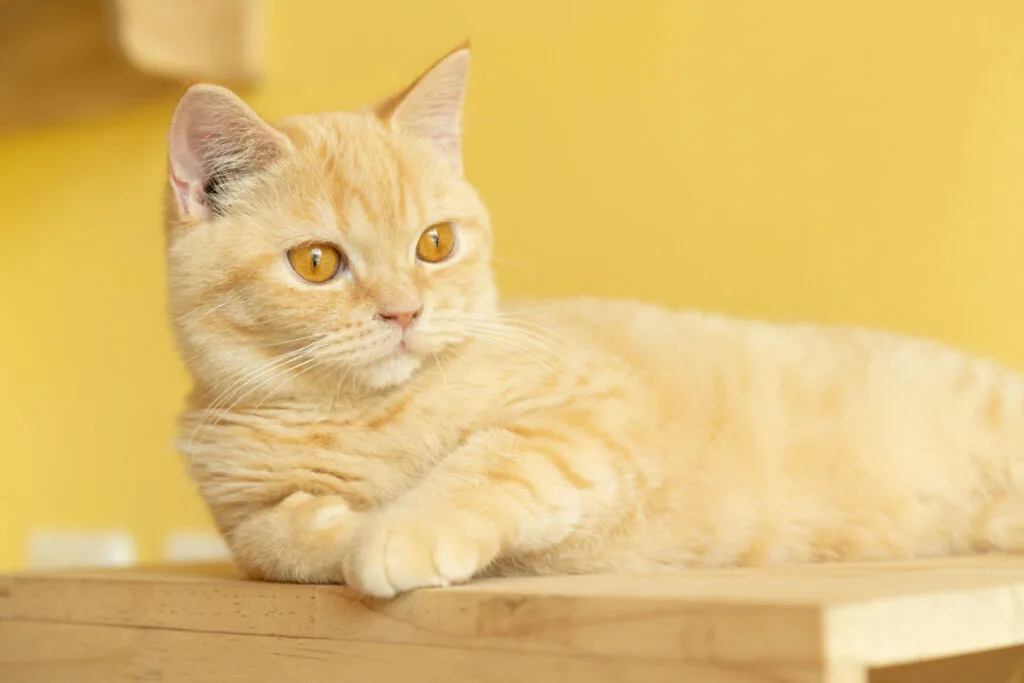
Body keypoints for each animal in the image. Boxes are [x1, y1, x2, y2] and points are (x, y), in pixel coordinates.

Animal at [163, 46, 1024, 598]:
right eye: (316, 262)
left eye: (434, 244)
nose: (405, 310)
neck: (366, 416)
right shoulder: (243, 517)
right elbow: (281, 537)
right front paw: (348, 530)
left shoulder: (596, 416)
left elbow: (493, 459)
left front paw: (403, 530)